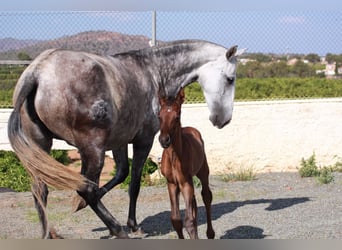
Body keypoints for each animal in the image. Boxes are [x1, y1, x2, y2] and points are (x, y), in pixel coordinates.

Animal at [7, 39, 246, 238]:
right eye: (230, 79)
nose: (222, 119)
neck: (153, 71)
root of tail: (38, 71)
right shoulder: (144, 141)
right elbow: (134, 184)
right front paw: (133, 225)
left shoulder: (120, 142)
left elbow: (121, 174)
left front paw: (78, 205)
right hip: (92, 149)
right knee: (86, 188)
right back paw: (117, 229)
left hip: (42, 146)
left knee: (41, 190)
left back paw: (50, 233)